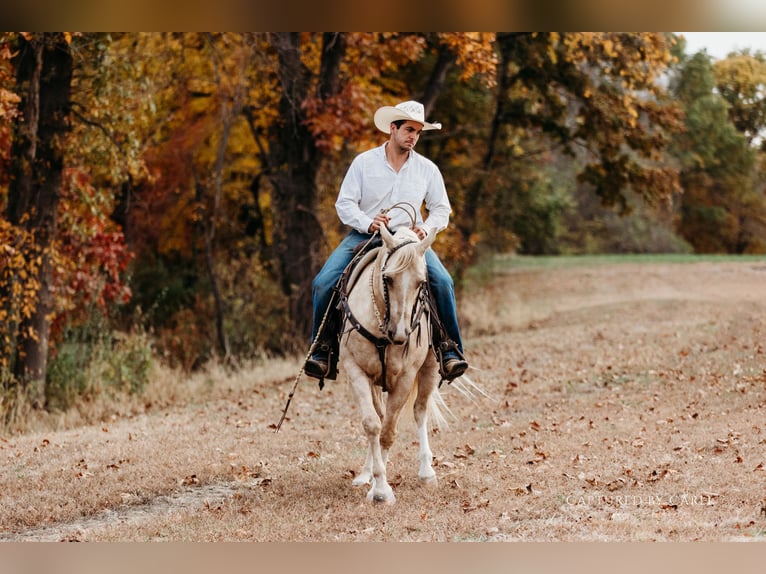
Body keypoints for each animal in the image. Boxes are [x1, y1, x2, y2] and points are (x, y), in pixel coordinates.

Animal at [338, 224, 446, 504]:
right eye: (387, 279)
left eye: (422, 282)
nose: (400, 333)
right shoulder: (355, 370)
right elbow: (372, 424)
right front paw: (377, 483)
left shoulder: (406, 377)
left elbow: (388, 432)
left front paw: (380, 490)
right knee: (379, 418)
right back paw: (365, 474)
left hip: (429, 368)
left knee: (420, 410)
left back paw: (426, 472)